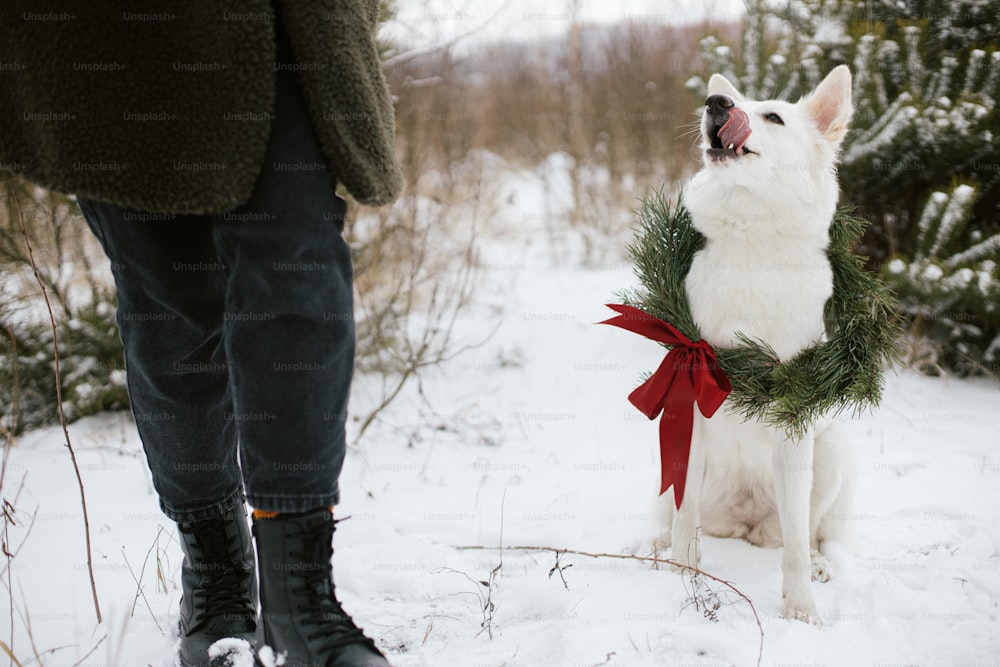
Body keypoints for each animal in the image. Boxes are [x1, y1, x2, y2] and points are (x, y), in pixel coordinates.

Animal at [664, 65, 860, 624]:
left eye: (773, 116)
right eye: (731, 101)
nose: (716, 104)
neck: (752, 245)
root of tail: (746, 519)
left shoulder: (795, 421)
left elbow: (795, 543)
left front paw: (800, 608)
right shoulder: (687, 409)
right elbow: (685, 517)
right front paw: (681, 574)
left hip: (830, 449)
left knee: (808, 534)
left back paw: (819, 565)